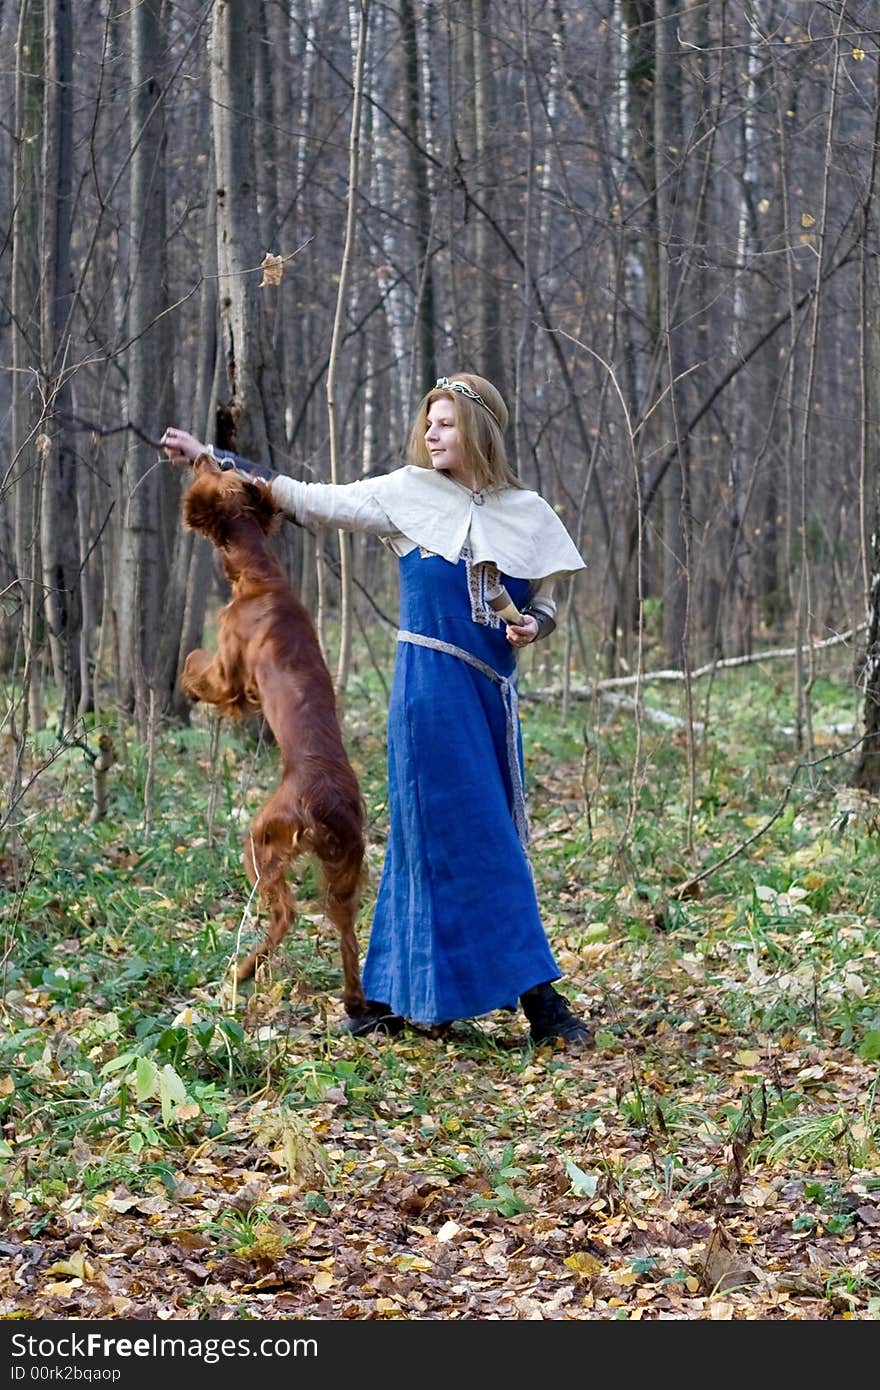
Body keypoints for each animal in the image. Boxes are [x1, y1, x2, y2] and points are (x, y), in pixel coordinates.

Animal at [182, 450, 367, 1017]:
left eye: (215, 471)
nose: (204, 452)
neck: (260, 574)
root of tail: (327, 803)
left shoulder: (230, 670)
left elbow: (197, 666)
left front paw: (186, 685)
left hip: (260, 843)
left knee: (286, 914)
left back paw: (242, 971)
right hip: (345, 868)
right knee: (346, 933)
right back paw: (354, 1001)